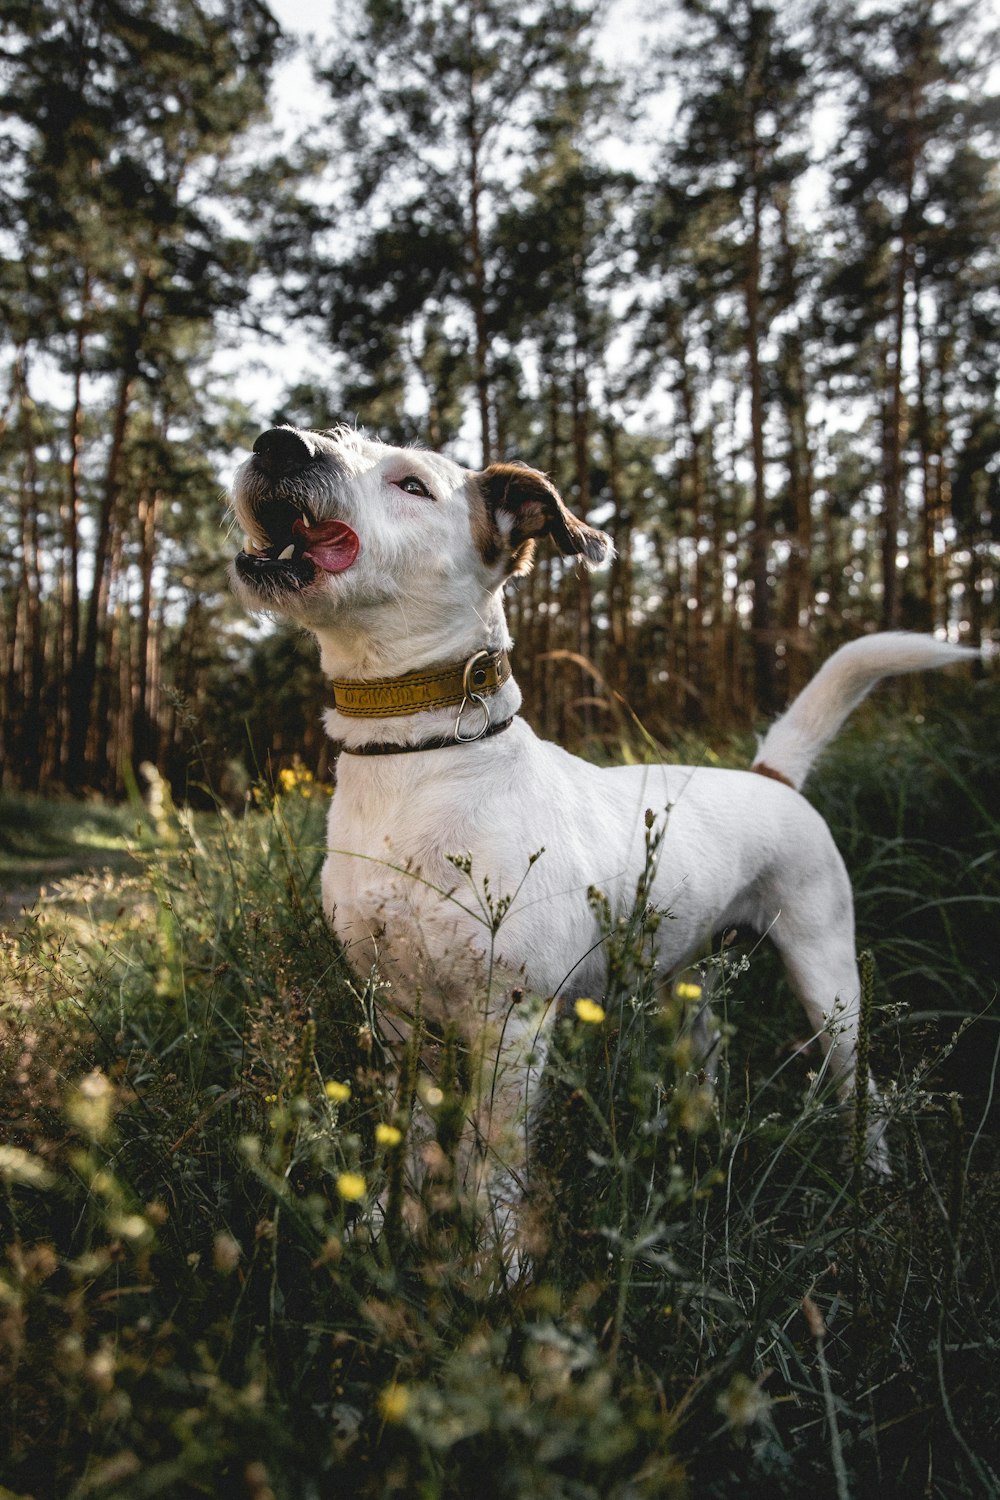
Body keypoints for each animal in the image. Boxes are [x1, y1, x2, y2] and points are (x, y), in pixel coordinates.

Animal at [230, 423, 971, 1206]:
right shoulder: (397, 1017)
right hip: (689, 975)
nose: (277, 441)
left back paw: (872, 1174)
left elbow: (493, 1169)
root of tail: (771, 777)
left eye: (412, 486)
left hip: (826, 973)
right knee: (707, 1049)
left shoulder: (512, 1025)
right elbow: (409, 1144)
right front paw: (391, 1217)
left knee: (860, 1084)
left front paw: (492, 1239)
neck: (417, 758)